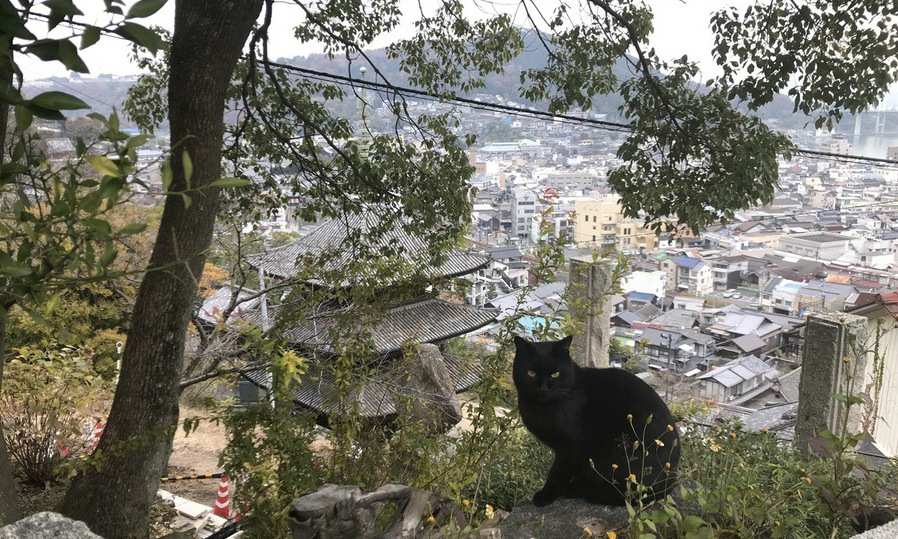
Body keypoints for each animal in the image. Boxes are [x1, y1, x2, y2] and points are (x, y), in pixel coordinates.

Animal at [512, 336, 680, 508]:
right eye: (531, 373)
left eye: (555, 374)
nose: (543, 388)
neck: (544, 408)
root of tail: (670, 479)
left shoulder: (571, 447)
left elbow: (558, 472)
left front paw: (546, 495)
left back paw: (575, 489)